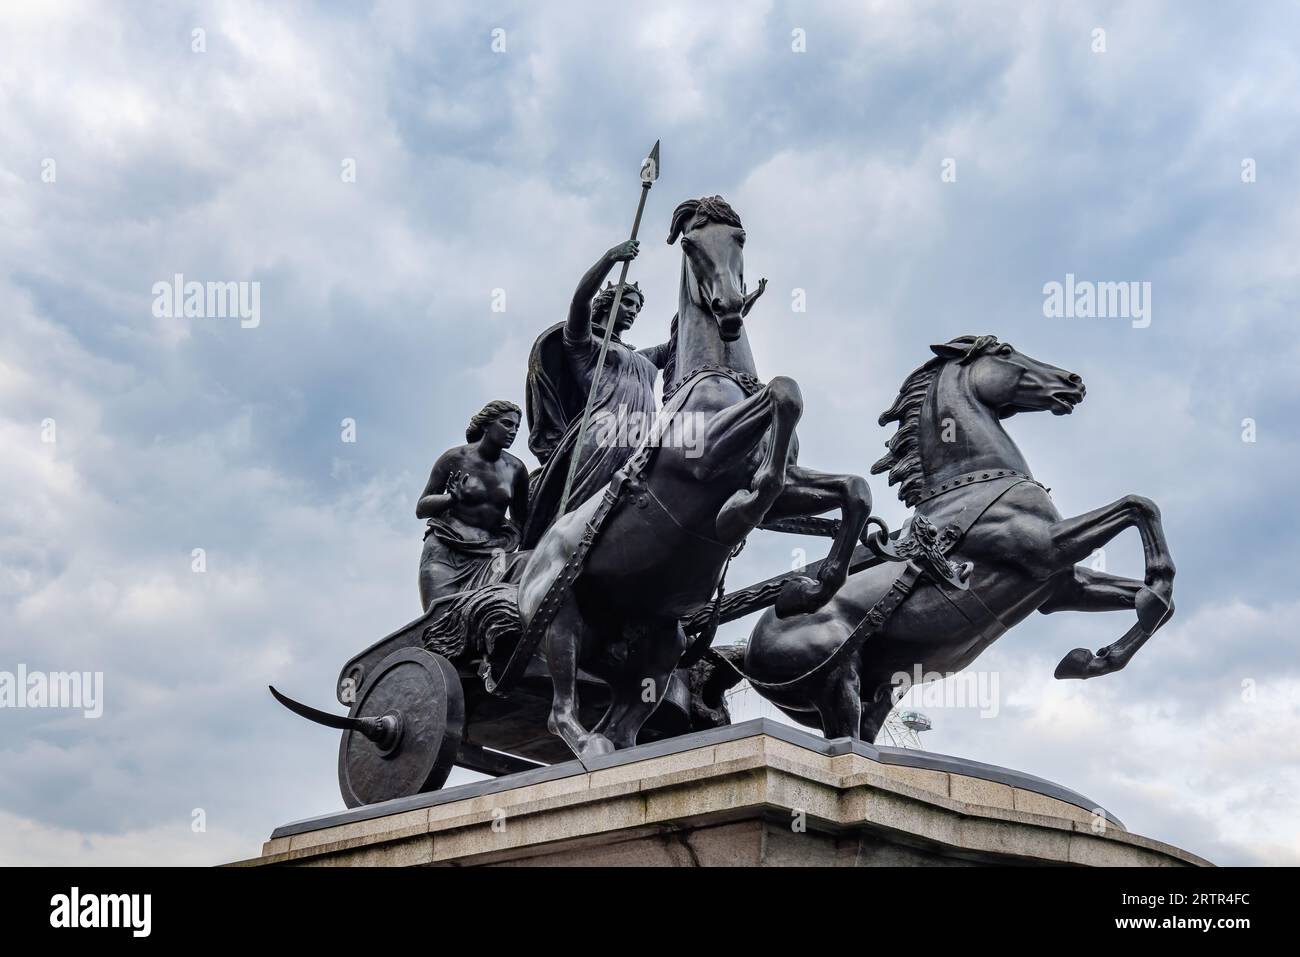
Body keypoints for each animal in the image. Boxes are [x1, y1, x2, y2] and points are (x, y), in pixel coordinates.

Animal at [517, 196, 873, 764]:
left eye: (740, 237)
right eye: (689, 243)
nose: (729, 310)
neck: (721, 381)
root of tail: (528, 566)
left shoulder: (791, 483)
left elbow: (851, 488)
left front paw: (808, 591)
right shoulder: (708, 461)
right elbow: (782, 402)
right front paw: (735, 519)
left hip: (657, 644)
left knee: (623, 723)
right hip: (559, 619)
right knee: (561, 713)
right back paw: (590, 746)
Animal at [733, 335, 1180, 738]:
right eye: (1005, 351)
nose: (1073, 381)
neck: (974, 483)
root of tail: (746, 649)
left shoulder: (1061, 587)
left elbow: (1158, 600)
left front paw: (1091, 658)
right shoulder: (1046, 549)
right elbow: (1138, 506)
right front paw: (1147, 598)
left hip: (880, 690)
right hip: (837, 684)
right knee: (846, 742)